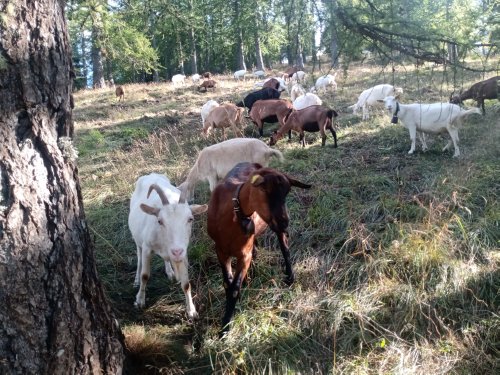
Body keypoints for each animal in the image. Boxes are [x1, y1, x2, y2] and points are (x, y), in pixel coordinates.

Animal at [130, 173, 208, 318]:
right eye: (160, 221)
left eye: (190, 219)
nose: (176, 251)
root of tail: (151, 174)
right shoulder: (147, 248)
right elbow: (145, 275)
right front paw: (139, 300)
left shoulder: (183, 253)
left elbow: (186, 284)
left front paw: (191, 311)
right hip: (137, 239)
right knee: (138, 256)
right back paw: (136, 280)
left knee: (166, 259)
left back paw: (170, 272)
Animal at [206, 162, 308, 334]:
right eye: (265, 190)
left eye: (287, 193)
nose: (284, 222)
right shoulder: (220, 250)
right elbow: (228, 283)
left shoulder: (244, 254)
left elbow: (234, 288)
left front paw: (225, 328)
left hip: (273, 229)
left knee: (284, 247)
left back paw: (290, 276)